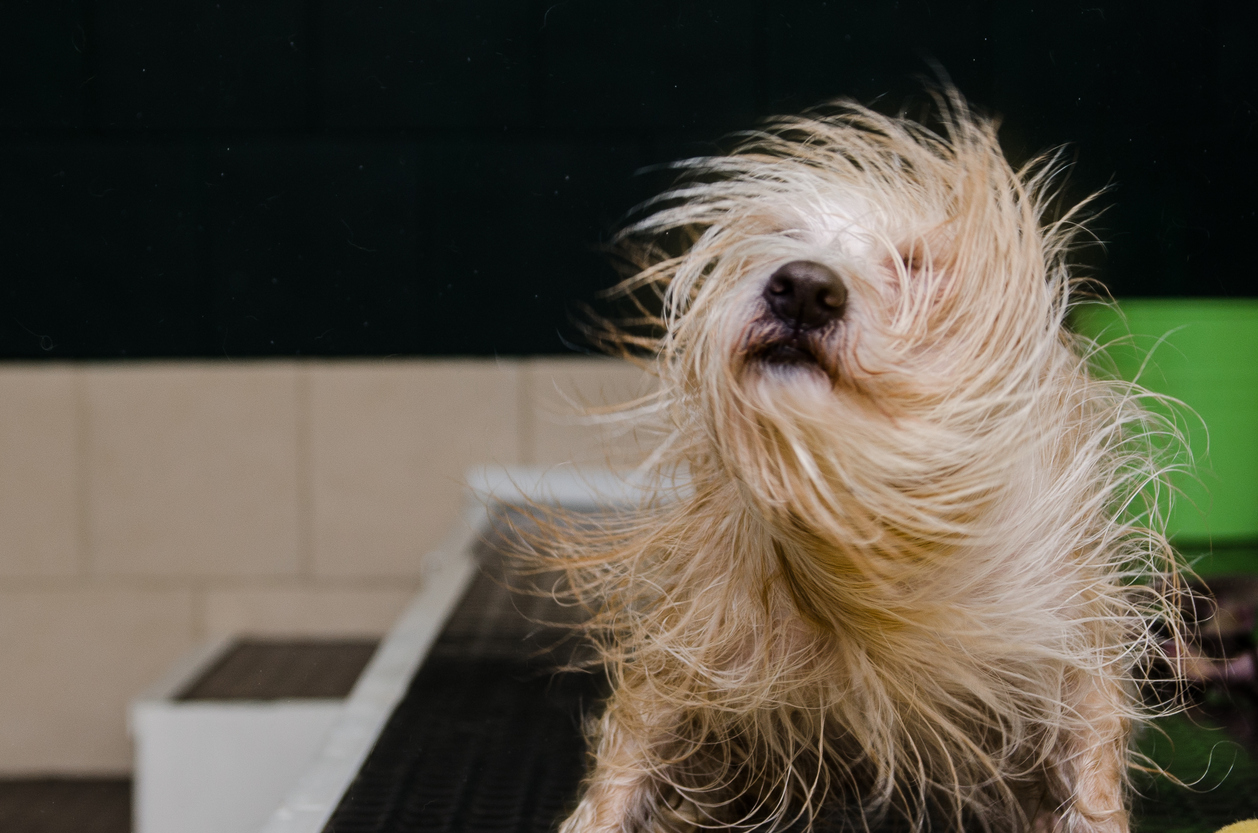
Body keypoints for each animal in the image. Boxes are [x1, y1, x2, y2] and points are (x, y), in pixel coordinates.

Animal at [528, 91, 1177, 833]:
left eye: (915, 263)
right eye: (783, 235)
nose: (805, 287)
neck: (864, 543)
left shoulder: (1065, 633)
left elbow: (1091, 754)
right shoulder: (687, 647)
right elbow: (631, 747)